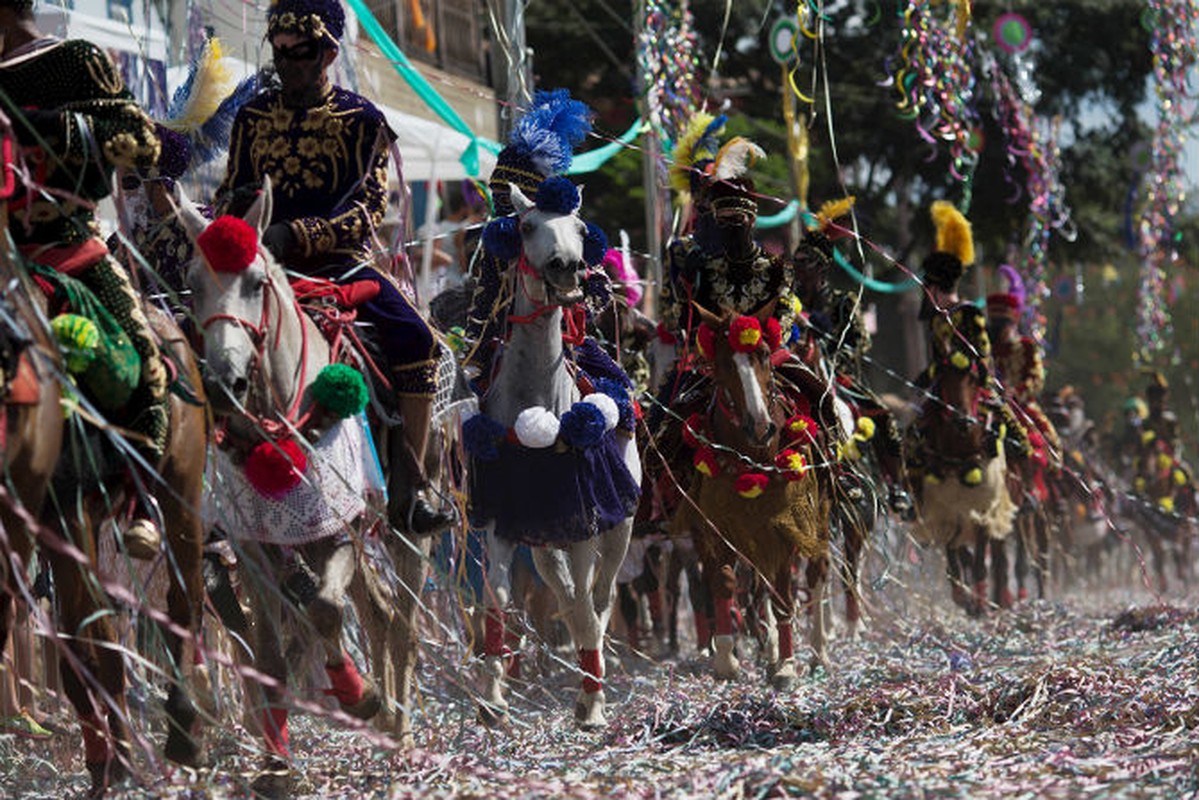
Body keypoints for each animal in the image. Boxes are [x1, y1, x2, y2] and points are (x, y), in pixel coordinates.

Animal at [465, 181, 637, 734]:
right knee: (565, 593)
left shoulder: (583, 521)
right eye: (526, 226)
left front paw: (593, 705)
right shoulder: (503, 520)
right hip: (543, 542)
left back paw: (593, 684)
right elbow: (496, 601)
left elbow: (584, 605)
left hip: (619, 527)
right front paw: (491, 698)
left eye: (581, 228)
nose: (566, 267)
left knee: (595, 599)